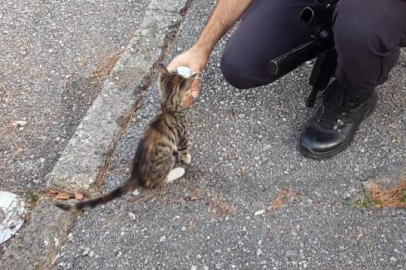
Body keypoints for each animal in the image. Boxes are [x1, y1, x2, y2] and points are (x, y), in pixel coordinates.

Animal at [56, 63, 197, 211]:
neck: (168, 107)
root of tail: (136, 175)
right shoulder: (182, 134)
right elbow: (183, 150)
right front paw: (187, 159)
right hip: (167, 161)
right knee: (156, 182)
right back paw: (178, 171)